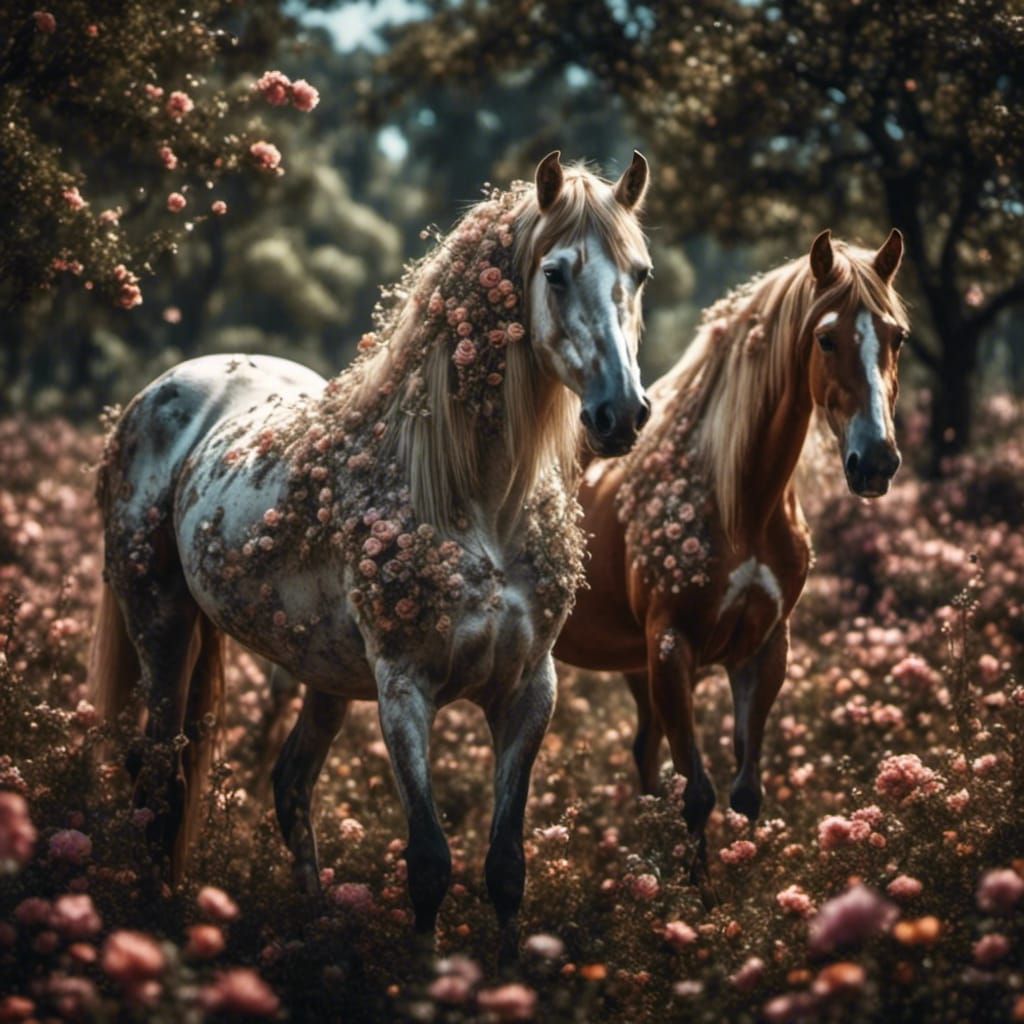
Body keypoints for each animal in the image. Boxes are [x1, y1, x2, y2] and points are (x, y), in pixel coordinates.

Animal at [89, 151, 654, 960]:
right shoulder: (403, 689)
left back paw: (319, 920)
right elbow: (430, 862)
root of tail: (167, 388)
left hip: (321, 673)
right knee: (158, 770)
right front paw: (423, 973)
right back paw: (152, 908)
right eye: (555, 273)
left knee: (289, 784)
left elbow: (505, 864)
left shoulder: (528, 692)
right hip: (162, 628)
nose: (623, 414)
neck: (481, 506)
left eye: (638, 274)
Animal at [554, 228, 908, 869]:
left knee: (645, 757)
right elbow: (696, 795)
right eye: (825, 338)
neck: (739, 503)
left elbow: (745, 794)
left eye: (898, 337)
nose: (874, 461)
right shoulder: (672, 647)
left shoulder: (763, 649)